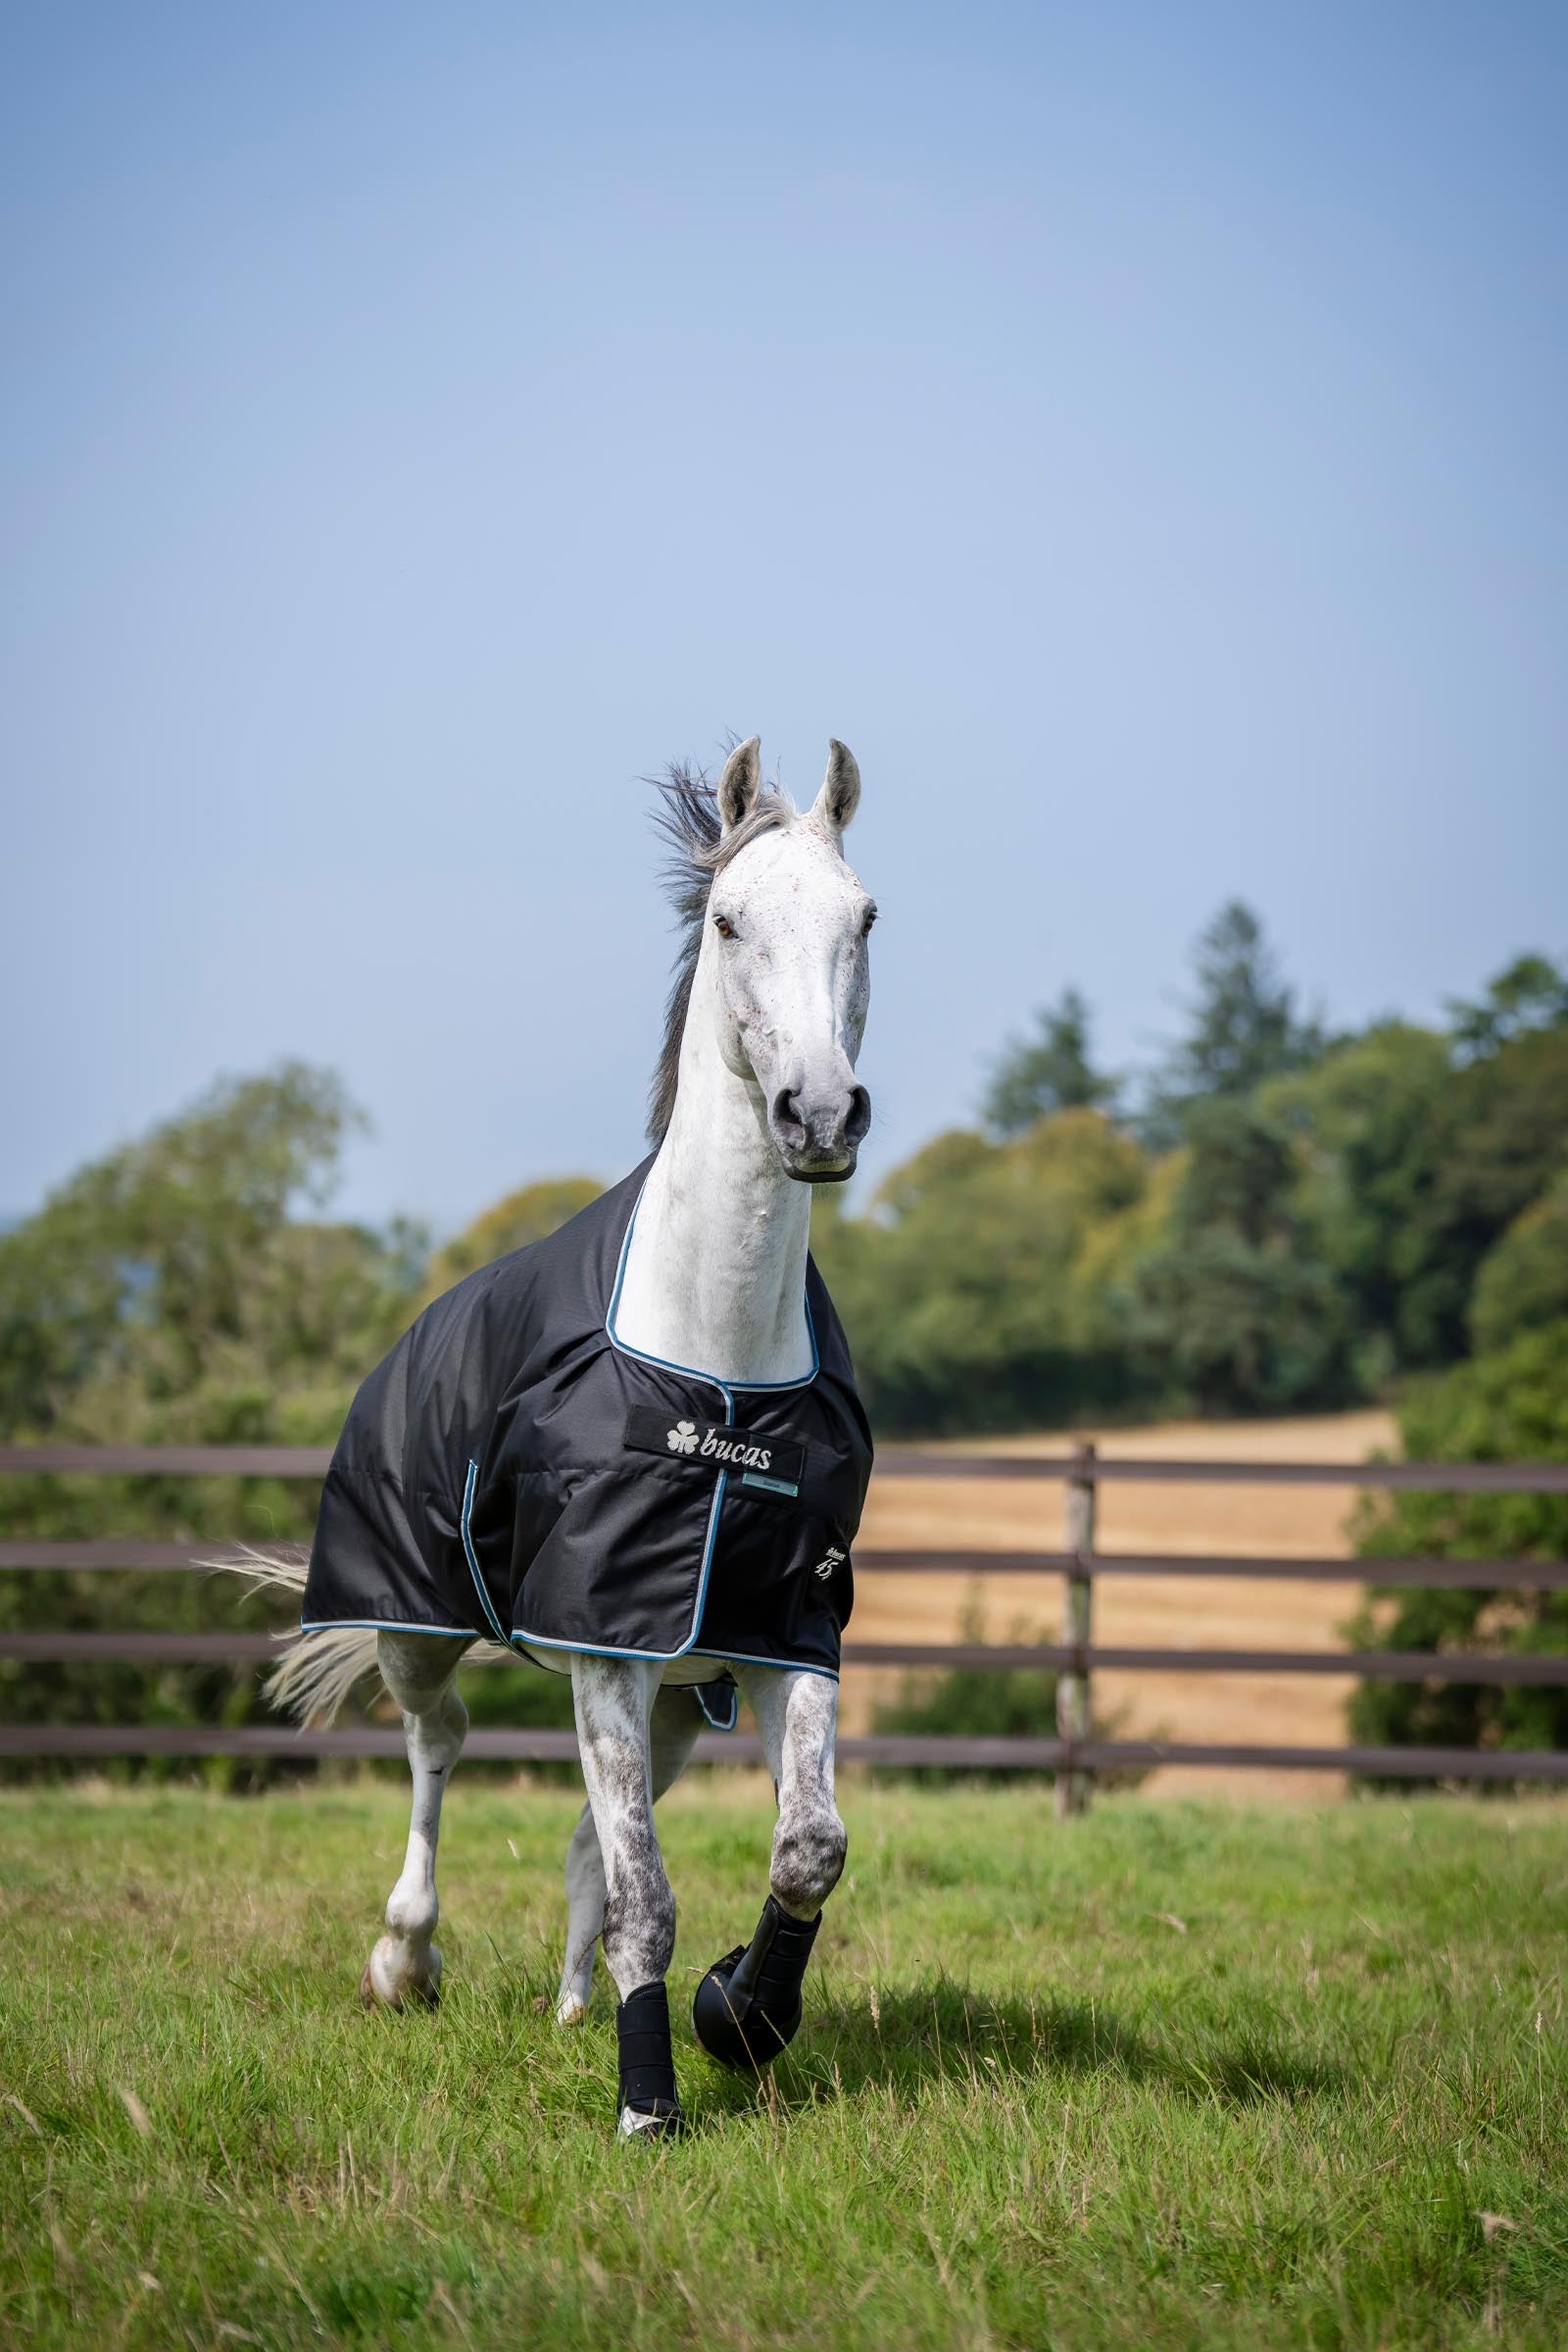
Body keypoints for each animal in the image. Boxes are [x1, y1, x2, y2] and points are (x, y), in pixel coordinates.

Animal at [248, 736, 877, 2137]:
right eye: (728, 918)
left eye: (865, 918)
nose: (818, 1116)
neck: (716, 1370)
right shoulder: (603, 1643)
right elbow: (652, 1897)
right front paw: (650, 2107)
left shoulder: (777, 1633)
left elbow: (804, 1850)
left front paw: (740, 2014)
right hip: (418, 1627)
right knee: (439, 1753)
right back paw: (405, 1960)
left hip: (671, 1697)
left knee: (589, 1838)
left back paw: (577, 2005)